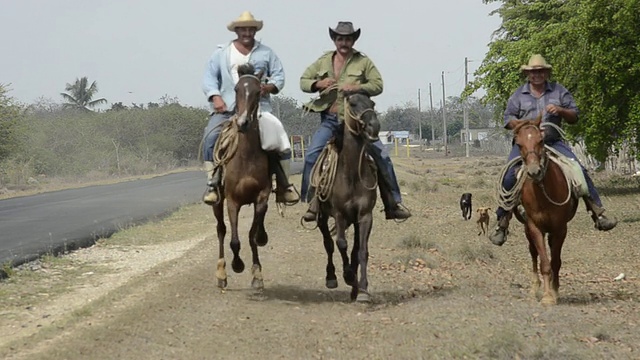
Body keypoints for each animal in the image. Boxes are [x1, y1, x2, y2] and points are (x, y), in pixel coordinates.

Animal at [211, 64, 268, 290]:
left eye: (258, 91)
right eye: (236, 89)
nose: (243, 122)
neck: (246, 157)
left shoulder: (261, 197)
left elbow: (252, 235)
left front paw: (257, 274)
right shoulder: (232, 201)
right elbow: (234, 240)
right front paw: (237, 265)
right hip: (218, 202)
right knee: (221, 230)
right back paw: (221, 273)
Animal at [314, 93, 380, 304]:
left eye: (372, 103)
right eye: (352, 104)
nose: (374, 126)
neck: (351, 174)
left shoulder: (365, 216)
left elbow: (361, 251)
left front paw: (362, 290)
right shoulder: (339, 215)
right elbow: (341, 243)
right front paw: (348, 275)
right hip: (321, 217)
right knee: (328, 244)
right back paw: (332, 277)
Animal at [510, 116, 580, 306]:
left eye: (541, 140)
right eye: (518, 143)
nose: (534, 171)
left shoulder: (560, 228)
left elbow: (555, 262)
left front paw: (554, 292)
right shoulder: (535, 227)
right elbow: (544, 263)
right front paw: (547, 296)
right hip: (527, 229)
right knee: (533, 253)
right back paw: (534, 289)